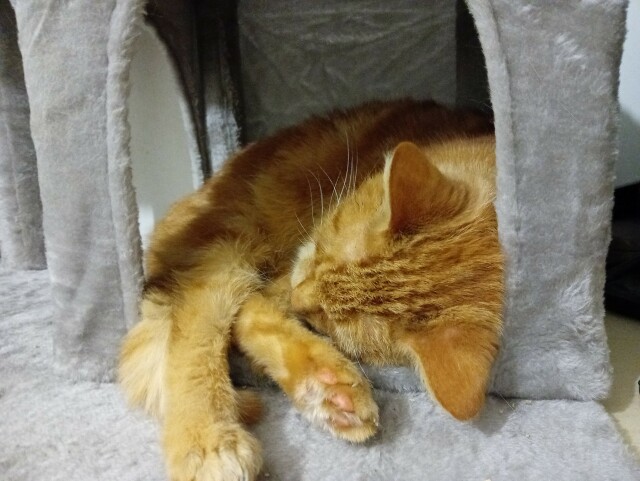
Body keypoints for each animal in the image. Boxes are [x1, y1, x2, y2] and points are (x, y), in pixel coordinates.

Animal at [117, 98, 502, 480]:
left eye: (328, 321)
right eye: (320, 248)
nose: (297, 299)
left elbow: (253, 317)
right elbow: (247, 314)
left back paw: (327, 388)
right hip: (228, 243)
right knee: (195, 322)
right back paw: (209, 441)